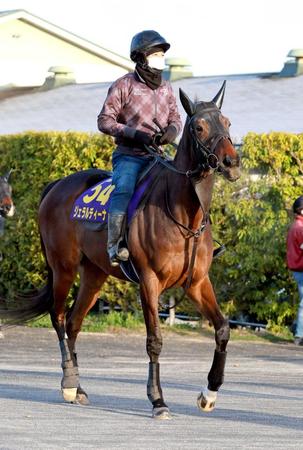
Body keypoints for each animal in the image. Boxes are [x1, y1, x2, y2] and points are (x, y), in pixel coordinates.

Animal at [1, 82, 241, 420]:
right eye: (199, 127)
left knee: (74, 322)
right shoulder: (149, 281)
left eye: (228, 123)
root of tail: (56, 185)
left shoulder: (197, 282)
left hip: (94, 274)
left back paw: (80, 387)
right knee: (59, 317)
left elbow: (222, 328)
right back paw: (69, 384)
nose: (231, 162)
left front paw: (209, 394)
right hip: (63, 268)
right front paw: (158, 400)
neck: (184, 215)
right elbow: (154, 340)